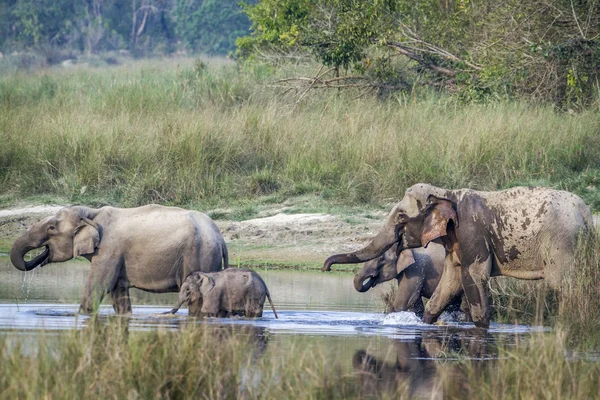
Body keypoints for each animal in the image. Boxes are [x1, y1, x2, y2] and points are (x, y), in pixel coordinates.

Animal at [322, 184, 592, 328]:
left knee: (565, 287)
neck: (445, 193)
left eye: (401, 217)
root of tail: (586, 211)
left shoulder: (471, 234)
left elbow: (474, 277)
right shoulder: (454, 243)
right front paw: (425, 324)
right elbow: (448, 284)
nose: (325, 267)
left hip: (561, 244)